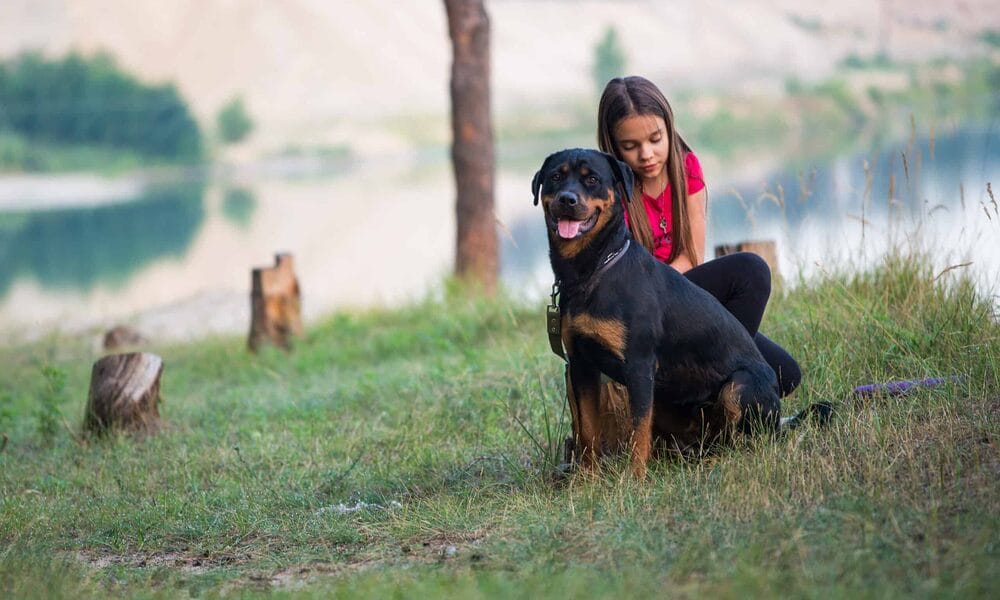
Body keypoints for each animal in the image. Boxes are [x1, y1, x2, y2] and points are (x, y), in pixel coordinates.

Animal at [532, 146, 780, 478]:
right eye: (556, 177)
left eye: (592, 179)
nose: (567, 200)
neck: (592, 269)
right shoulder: (581, 364)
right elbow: (587, 429)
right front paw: (586, 478)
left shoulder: (638, 364)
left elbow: (638, 431)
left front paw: (634, 478)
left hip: (738, 387)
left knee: (745, 438)